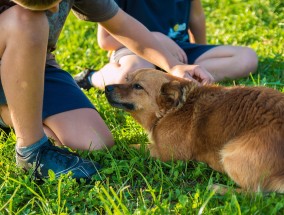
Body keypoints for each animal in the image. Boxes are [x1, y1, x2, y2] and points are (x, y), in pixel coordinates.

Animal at [105, 69, 284, 193]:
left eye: (138, 86)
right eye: (126, 79)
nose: (107, 87)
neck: (170, 110)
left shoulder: (165, 154)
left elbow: (134, 146)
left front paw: (116, 147)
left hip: (229, 155)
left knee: (255, 194)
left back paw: (219, 189)